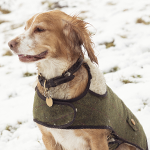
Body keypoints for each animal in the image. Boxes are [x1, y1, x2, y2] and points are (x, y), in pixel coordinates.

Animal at [7, 9, 147, 149]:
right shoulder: (48, 136)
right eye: (25, 28)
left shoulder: (97, 139)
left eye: (39, 29)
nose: (10, 44)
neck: (58, 79)